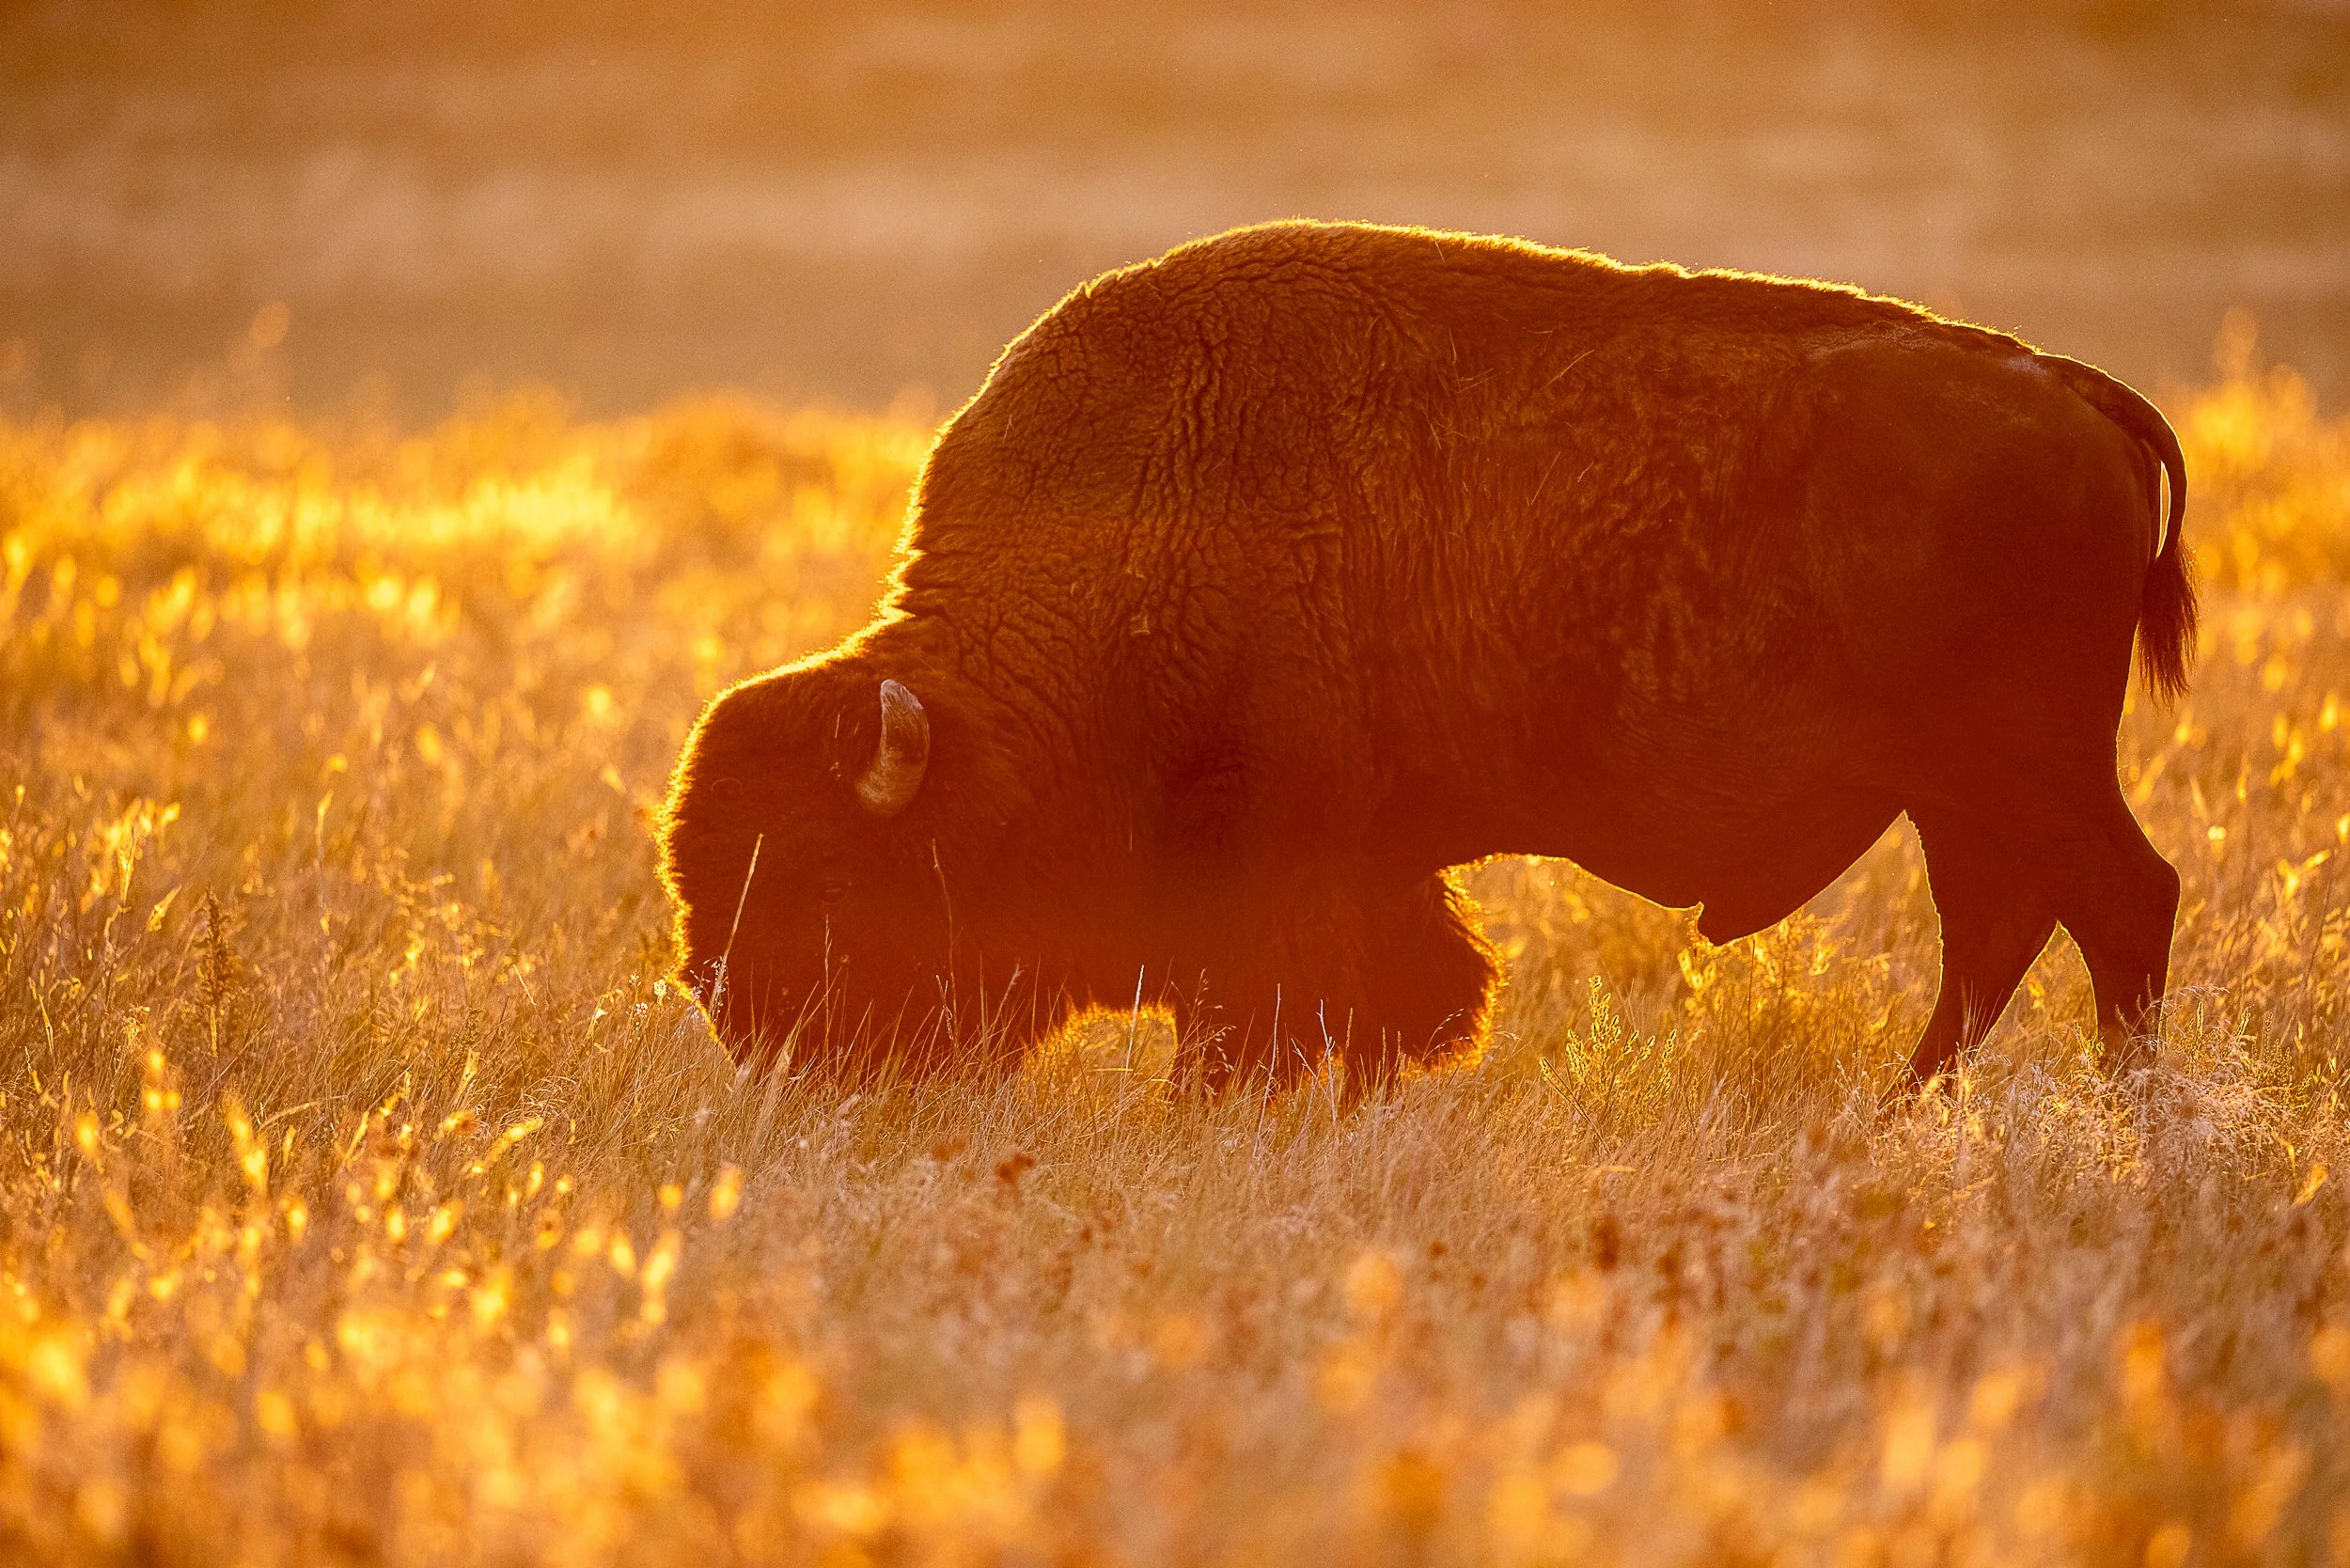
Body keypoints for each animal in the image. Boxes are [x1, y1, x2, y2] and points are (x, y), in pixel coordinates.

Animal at [659, 220, 2192, 1087]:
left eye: (827, 881)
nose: (756, 1034)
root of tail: (2073, 389)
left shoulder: (1281, 858)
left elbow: (1274, 1021)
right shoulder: (1368, 862)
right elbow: (1399, 999)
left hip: (2022, 763)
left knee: (2118, 904)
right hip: (1964, 788)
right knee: (2001, 931)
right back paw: (1909, 1108)